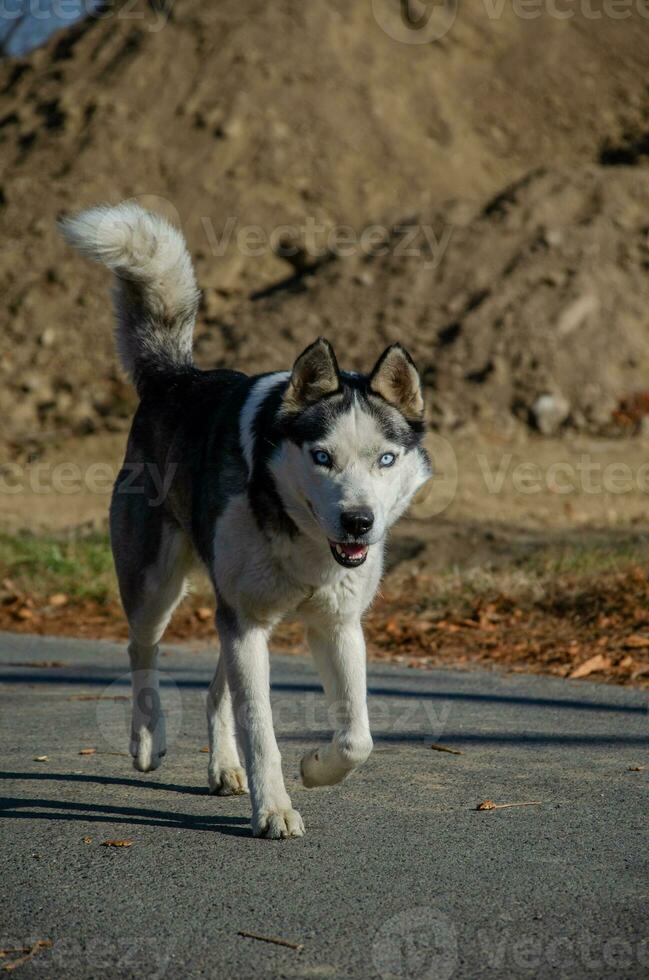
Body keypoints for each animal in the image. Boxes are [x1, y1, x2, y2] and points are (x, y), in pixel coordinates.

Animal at [59, 203, 430, 840]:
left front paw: (315, 767)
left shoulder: (335, 625)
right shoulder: (247, 623)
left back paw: (223, 766)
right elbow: (262, 730)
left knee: (217, 689)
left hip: (236, 613)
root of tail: (176, 377)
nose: (358, 522)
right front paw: (274, 808)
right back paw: (148, 740)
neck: (298, 531)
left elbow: (357, 738)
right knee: (142, 652)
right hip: (158, 588)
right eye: (322, 456)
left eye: (385, 459)